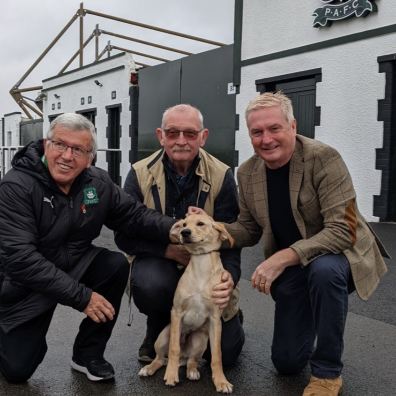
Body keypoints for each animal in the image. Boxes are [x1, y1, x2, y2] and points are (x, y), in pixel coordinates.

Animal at [138, 213, 234, 392]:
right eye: (183, 224)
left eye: (201, 223)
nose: (184, 232)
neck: (201, 265)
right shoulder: (176, 313)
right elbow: (174, 349)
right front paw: (170, 376)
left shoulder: (215, 320)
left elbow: (217, 355)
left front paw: (221, 381)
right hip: (163, 336)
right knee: (161, 358)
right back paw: (150, 368)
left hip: (200, 340)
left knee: (192, 360)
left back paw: (192, 371)